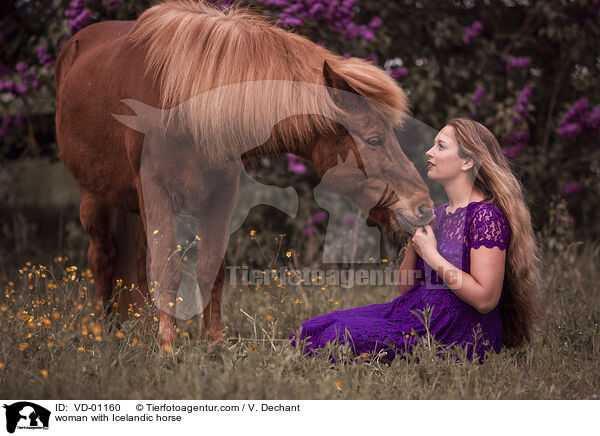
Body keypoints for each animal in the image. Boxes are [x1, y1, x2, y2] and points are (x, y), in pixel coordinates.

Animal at [54, 0, 434, 348]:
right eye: (374, 139)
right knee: (103, 258)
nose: (424, 206)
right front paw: (167, 349)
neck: (183, 101)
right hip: (95, 198)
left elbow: (211, 268)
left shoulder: (221, 193)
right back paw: (106, 334)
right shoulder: (156, 190)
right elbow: (168, 270)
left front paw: (213, 344)